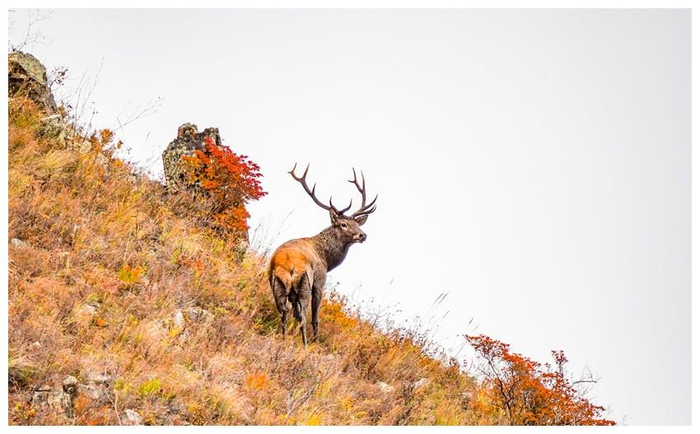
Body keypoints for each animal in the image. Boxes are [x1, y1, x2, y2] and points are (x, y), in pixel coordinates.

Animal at [268, 163, 377, 346]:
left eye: (357, 224)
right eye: (343, 224)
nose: (363, 235)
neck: (326, 258)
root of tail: (289, 266)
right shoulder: (319, 283)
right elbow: (315, 317)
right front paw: (316, 341)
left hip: (278, 285)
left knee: (284, 311)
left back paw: (283, 339)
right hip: (305, 284)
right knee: (302, 315)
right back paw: (306, 344)